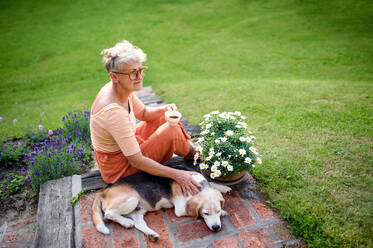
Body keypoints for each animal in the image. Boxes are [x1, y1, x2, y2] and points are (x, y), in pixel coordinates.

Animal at [92, 168, 230, 241]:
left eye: (217, 211)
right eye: (205, 213)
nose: (216, 227)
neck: (198, 186)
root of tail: (104, 190)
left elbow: (212, 184)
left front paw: (224, 188)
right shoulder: (179, 209)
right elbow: (190, 210)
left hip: (138, 210)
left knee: (138, 224)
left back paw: (151, 234)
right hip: (132, 199)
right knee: (109, 214)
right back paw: (126, 222)